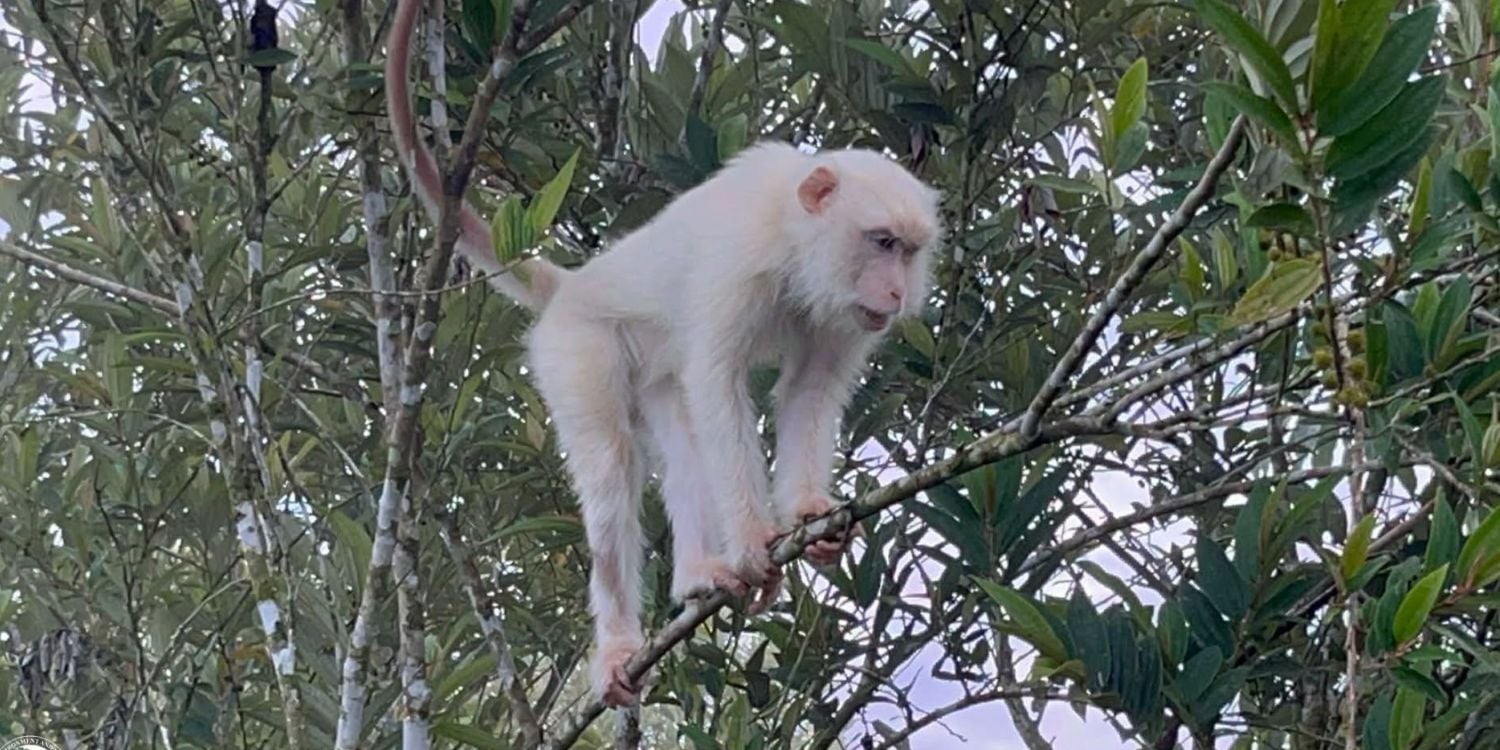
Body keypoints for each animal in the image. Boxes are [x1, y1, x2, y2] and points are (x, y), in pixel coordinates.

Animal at [385, 0, 941, 707]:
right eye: (882, 242)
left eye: (912, 251)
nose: (896, 294)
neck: (796, 241)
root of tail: (575, 285)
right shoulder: (742, 260)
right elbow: (718, 383)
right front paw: (755, 541)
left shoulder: (842, 313)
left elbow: (806, 392)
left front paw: (810, 513)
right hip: (577, 347)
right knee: (613, 468)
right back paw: (621, 642)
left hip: (650, 365)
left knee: (682, 437)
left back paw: (698, 575)